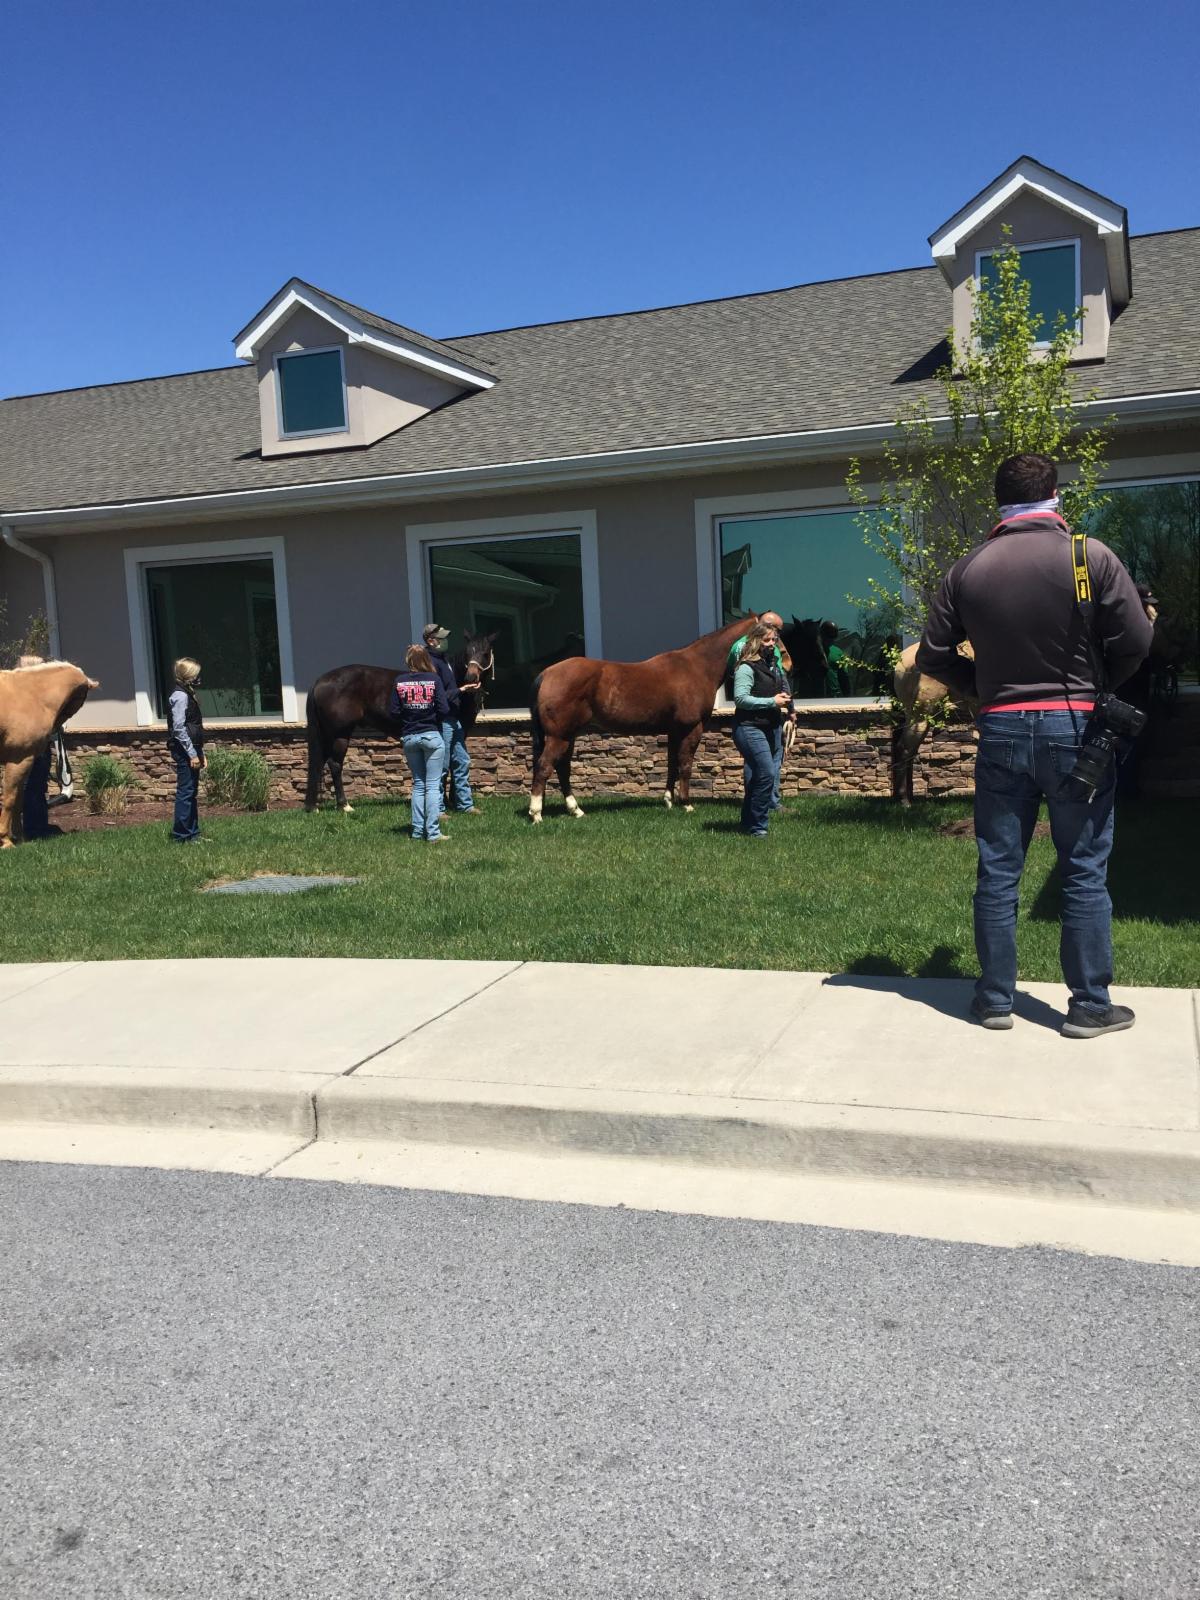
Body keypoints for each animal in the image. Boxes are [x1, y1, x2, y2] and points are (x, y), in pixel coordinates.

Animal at [0, 660, 98, 846]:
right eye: (82, 698)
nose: (58, 726)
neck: (29, 695)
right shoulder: (18, 759)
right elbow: (9, 799)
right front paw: (5, 840)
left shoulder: (26, 760)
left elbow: (19, 800)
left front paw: (20, 839)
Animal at [304, 632, 496, 812]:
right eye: (467, 652)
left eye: (485, 653)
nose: (471, 677)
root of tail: (320, 680)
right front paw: (448, 802)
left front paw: (453, 801)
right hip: (340, 734)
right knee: (335, 764)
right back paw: (344, 805)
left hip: (327, 734)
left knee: (319, 762)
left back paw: (314, 806)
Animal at [527, 615, 758, 822]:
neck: (696, 667)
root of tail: (546, 674)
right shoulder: (692, 728)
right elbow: (685, 764)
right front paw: (686, 804)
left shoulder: (674, 731)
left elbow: (672, 764)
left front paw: (668, 801)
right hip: (559, 736)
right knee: (544, 766)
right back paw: (537, 813)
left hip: (569, 735)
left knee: (562, 768)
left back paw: (575, 810)